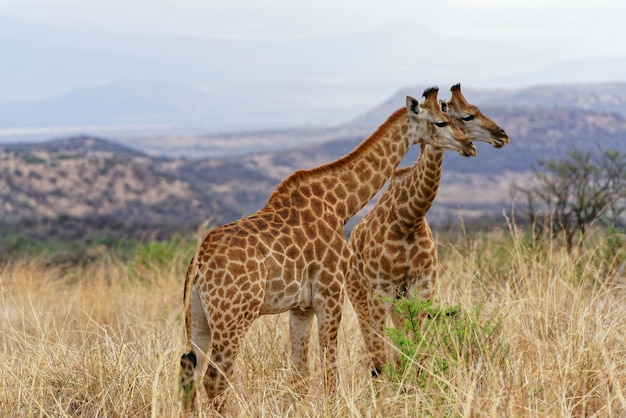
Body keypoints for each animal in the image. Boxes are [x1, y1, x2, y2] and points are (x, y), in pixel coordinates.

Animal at [178, 86, 476, 414]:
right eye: (440, 122)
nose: (469, 145)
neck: (340, 205)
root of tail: (198, 262)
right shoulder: (331, 293)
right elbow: (330, 372)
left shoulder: (301, 307)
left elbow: (300, 374)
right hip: (233, 316)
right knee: (215, 379)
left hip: (199, 317)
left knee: (190, 372)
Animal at [346, 82, 508, 376]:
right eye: (467, 116)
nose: (502, 135)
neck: (408, 219)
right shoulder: (381, 289)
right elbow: (384, 352)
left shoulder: (422, 286)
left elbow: (417, 348)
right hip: (359, 293)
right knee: (373, 347)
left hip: (396, 299)